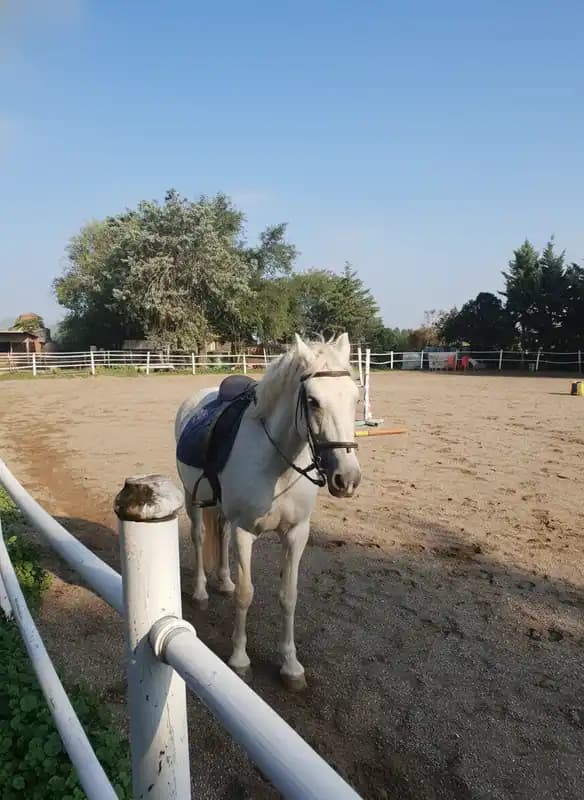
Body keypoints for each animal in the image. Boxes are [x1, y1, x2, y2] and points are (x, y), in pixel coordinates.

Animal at [175, 333, 361, 690]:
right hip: (193, 499)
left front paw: (290, 665)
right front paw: (239, 658)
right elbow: (246, 594)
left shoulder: (297, 533)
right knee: (200, 536)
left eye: (356, 398)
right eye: (313, 401)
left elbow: (288, 596)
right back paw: (202, 591)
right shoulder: (245, 531)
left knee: (220, 534)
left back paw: (224, 580)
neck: (278, 466)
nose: (347, 479)